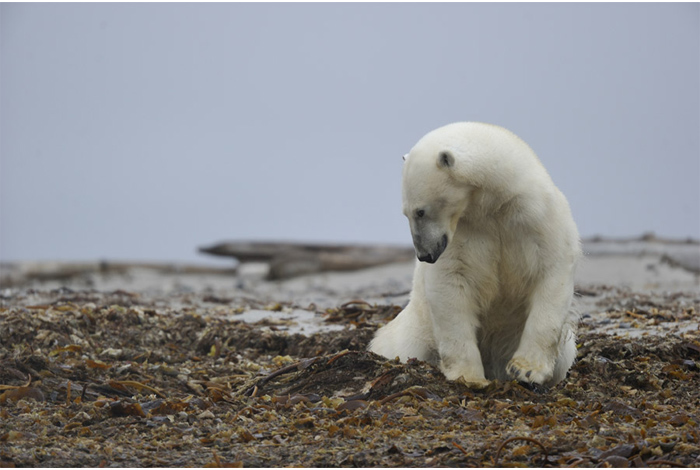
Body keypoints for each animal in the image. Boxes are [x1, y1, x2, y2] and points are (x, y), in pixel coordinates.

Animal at [370, 122, 584, 390]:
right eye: (406, 213)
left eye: (420, 211)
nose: (424, 255)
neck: (493, 205)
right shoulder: (462, 234)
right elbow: (451, 284)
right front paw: (470, 377)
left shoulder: (537, 216)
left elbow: (553, 271)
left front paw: (525, 370)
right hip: (413, 332)